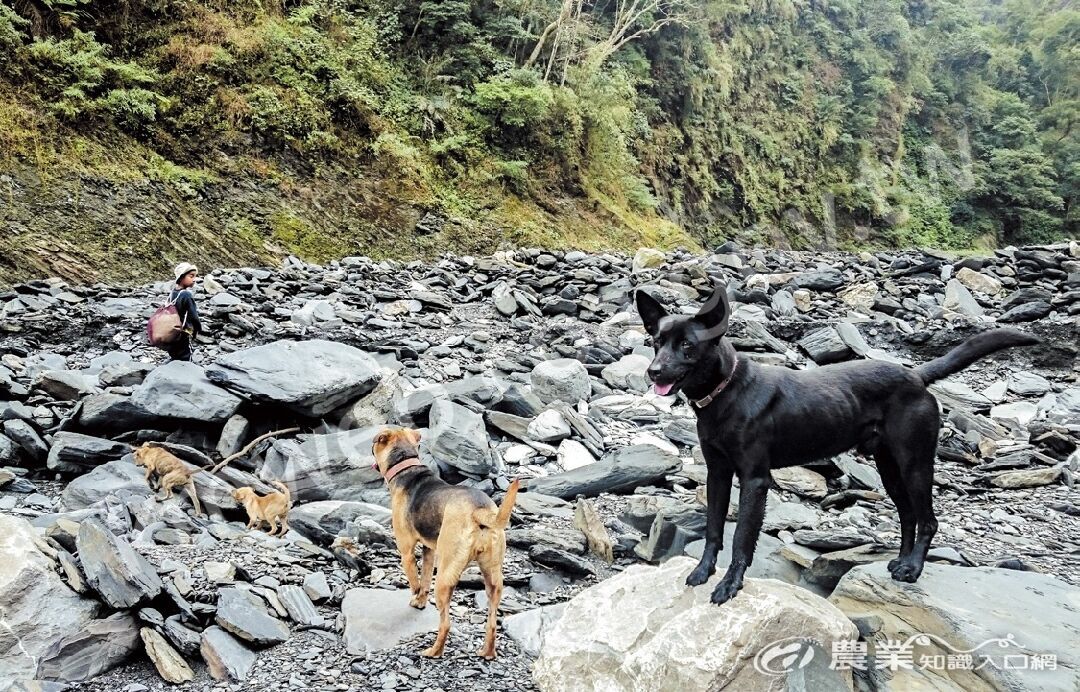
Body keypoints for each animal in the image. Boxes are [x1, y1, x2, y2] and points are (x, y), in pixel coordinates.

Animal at [373, 427, 520, 656]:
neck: (406, 466)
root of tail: (479, 511)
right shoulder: (429, 550)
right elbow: (424, 580)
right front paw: (420, 601)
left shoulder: (406, 551)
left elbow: (415, 582)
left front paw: (416, 599)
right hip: (494, 578)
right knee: (492, 621)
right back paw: (487, 653)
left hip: (444, 577)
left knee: (446, 623)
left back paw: (433, 652)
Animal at [635, 280, 1041, 604]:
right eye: (656, 342)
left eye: (688, 346)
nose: (653, 371)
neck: (726, 392)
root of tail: (915, 376)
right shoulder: (717, 474)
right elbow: (714, 530)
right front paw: (703, 573)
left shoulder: (754, 480)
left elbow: (741, 540)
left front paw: (730, 586)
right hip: (889, 468)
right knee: (908, 516)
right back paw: (901, 562)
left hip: (915, 463)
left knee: (927, 520)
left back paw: (912, 570)